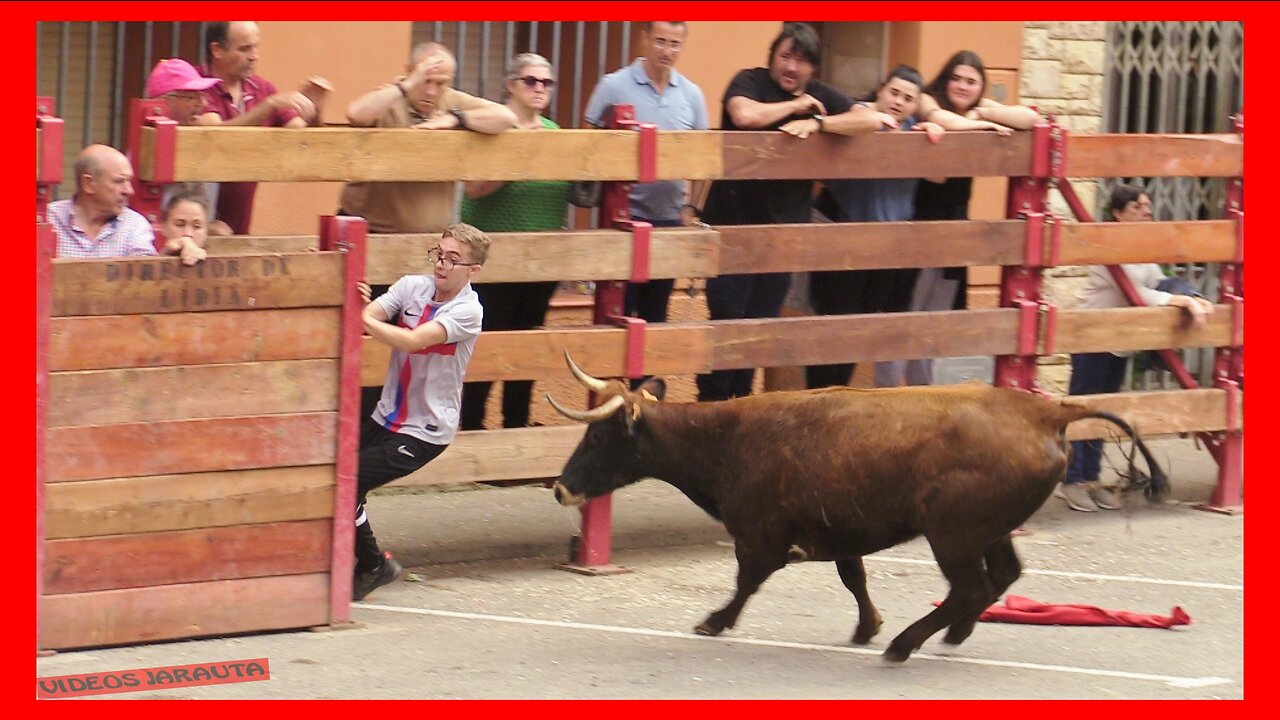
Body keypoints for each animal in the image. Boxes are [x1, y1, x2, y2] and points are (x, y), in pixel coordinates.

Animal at [545, 351, 1167, 661]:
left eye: (598, 436)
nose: (560, 489)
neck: (725, 438)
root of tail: (1045, 411)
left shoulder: (761, 535)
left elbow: (747, 581)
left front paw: (713, 621)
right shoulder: (840, 528)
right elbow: (854, 577)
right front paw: (868, 625)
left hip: (954, 533)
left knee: (971, 586)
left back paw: (906, 645)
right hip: (988, 530)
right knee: (1001, 576)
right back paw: (949, 636)